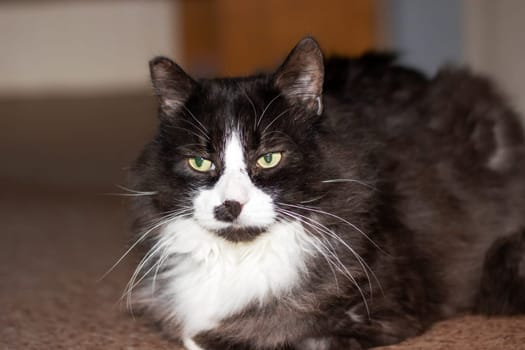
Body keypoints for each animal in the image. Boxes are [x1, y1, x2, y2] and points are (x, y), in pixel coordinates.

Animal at [128, 37, 524, 348]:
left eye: (269, 158)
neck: (240, 258)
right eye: (200, 162)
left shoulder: (377, 316)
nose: (230, 205)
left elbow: (272, 336)